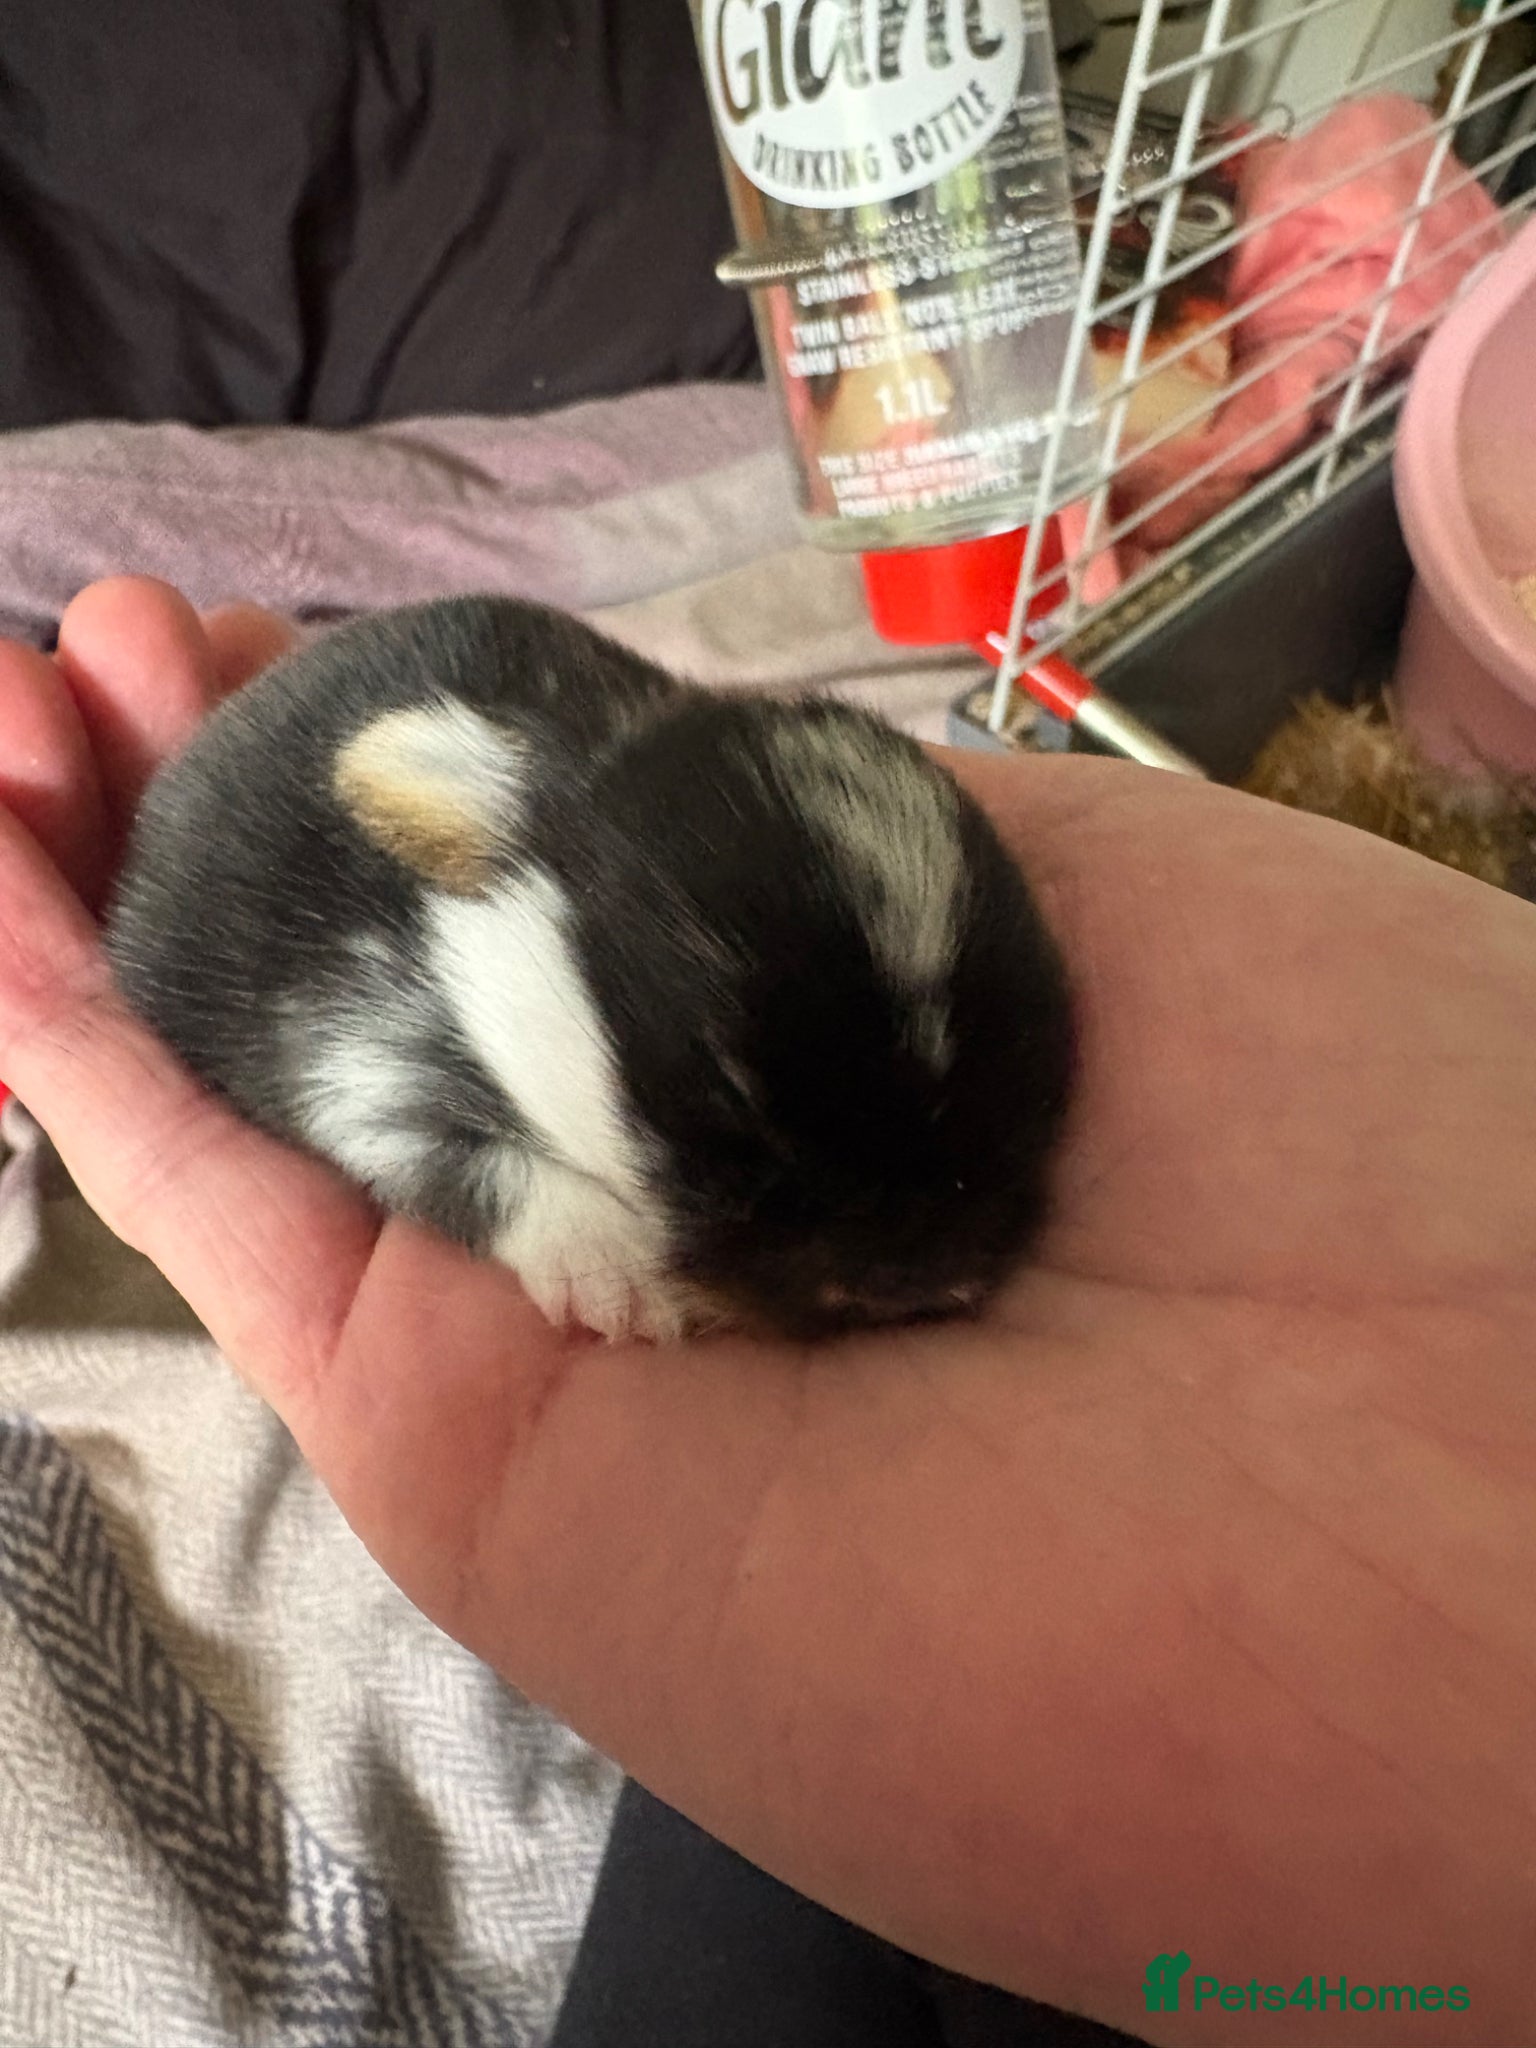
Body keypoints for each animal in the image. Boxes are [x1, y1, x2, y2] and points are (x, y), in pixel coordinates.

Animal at [105, 594, 1075, 1344]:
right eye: (728, 1089)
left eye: (1030, 1065)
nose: (917, 1276)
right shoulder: (358, 1071)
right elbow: (478, 1172)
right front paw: (621, 1282)